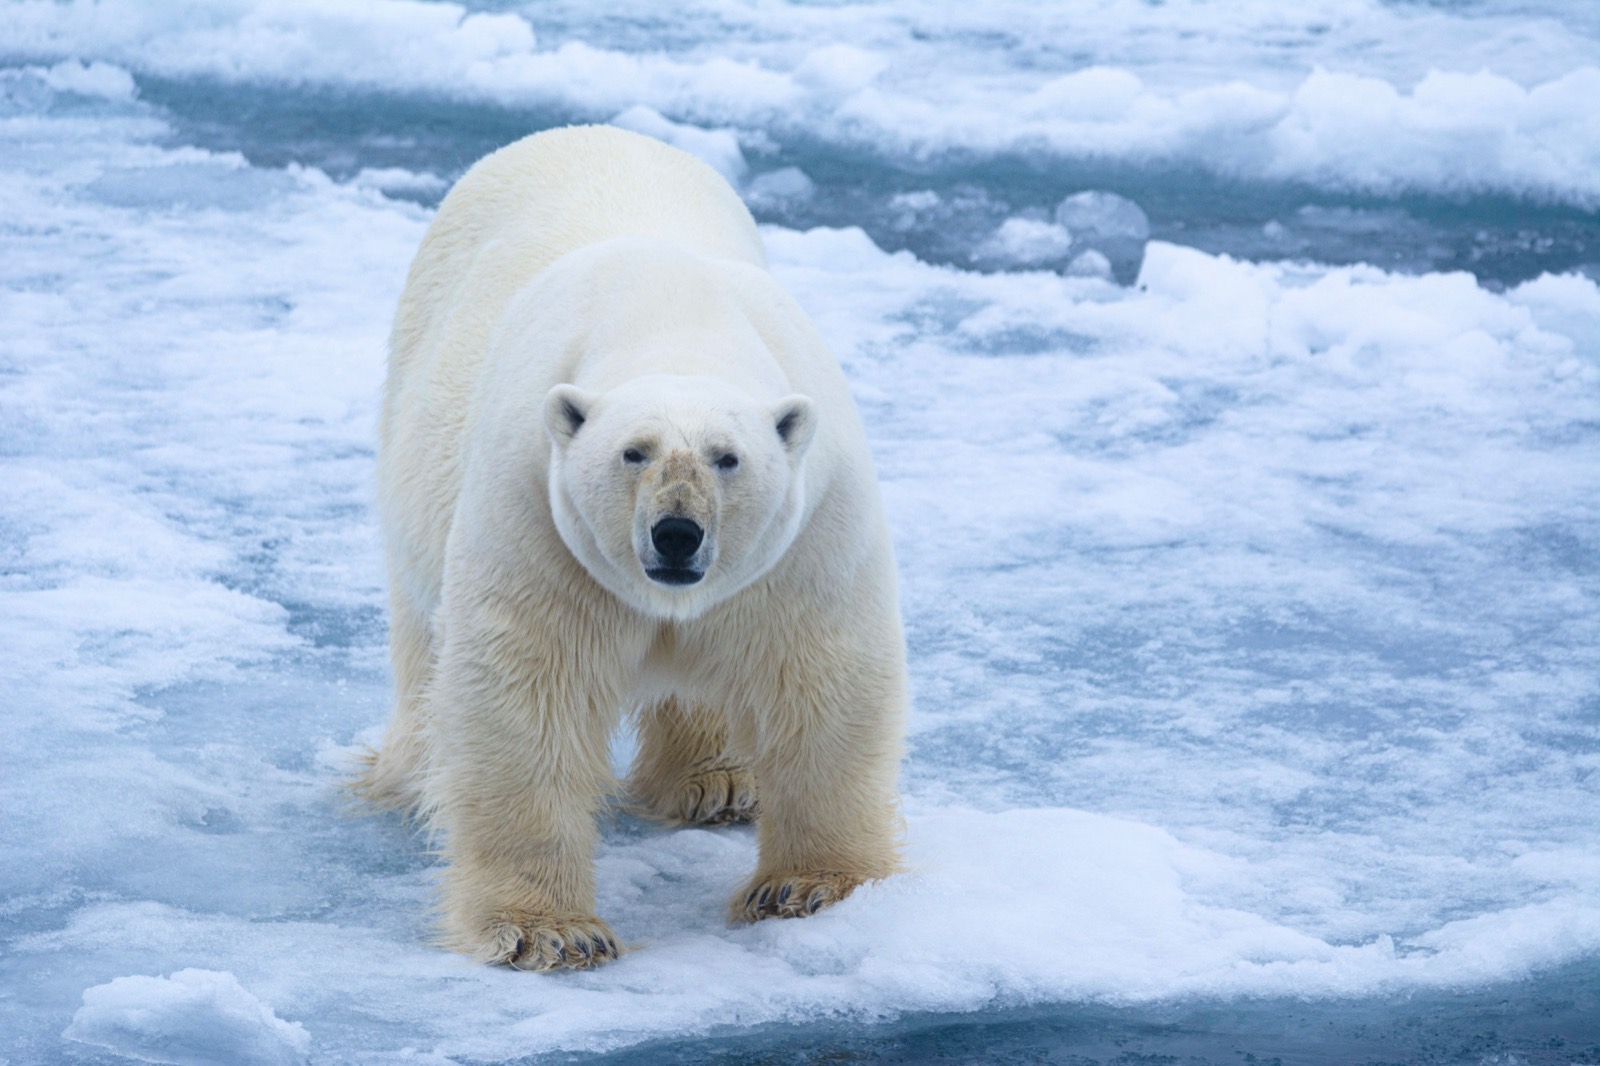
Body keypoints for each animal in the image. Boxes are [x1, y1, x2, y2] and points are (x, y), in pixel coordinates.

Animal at [356, 125, 907, 971]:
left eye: (727, 457)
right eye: (633, 453)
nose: (676, 533)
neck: (678, 323)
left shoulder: (809, 531)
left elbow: (821, 678)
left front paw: (810, 888)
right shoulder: (537, 513)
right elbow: (527, 696)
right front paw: (549, 931)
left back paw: (720, 783)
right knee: (423, 637)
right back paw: (411, 775)